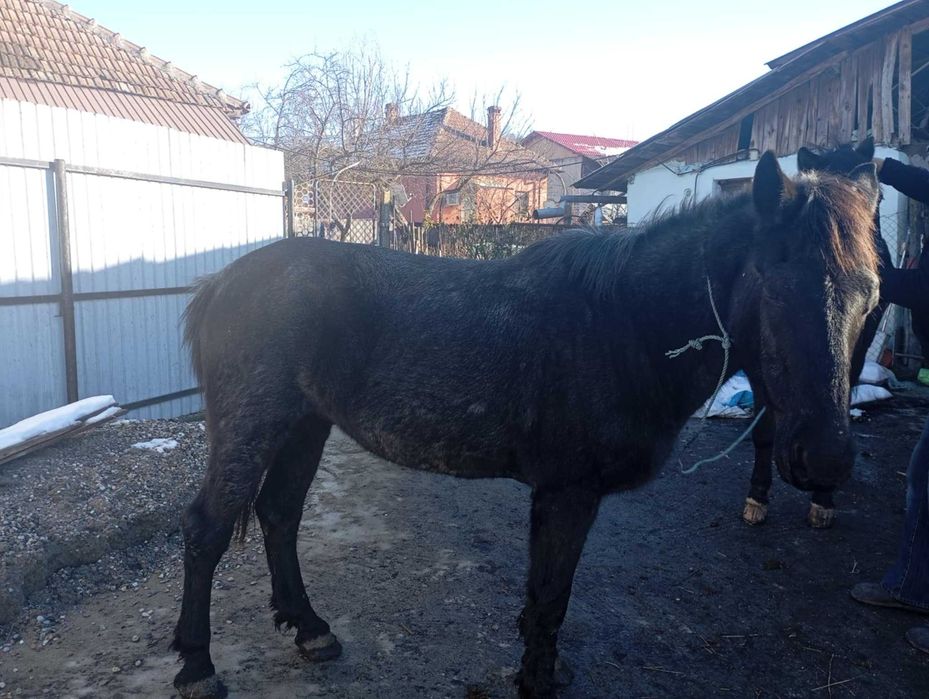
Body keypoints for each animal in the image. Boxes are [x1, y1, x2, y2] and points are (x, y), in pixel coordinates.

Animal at [171, 152, 880, 699]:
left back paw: (311, 628)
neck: (622, 324)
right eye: (773, 284)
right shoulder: (567, 494)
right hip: (254, 424)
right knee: (207, 529)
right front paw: (538, 679)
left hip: (304, 425)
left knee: (279, 515)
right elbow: (549, 596)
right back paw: (198, 667)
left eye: (870, 292)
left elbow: (547, 599)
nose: (826, 460)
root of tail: (222, 282)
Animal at [741, 138, 893, 529]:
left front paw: (824, 498)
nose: (825, 460)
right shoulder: (754, 361)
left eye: (871, 299)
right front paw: (757, 495)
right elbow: (764, 431)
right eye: (772, 291)